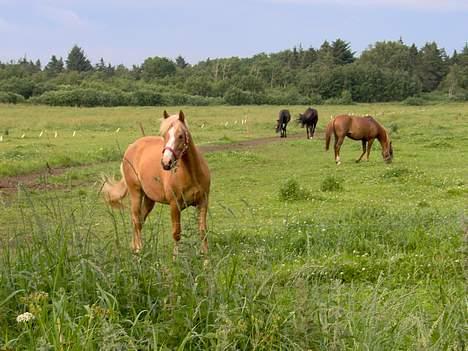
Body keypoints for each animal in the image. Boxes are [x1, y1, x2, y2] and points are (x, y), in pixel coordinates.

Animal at [104, 111, 212, 258]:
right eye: (164, 135)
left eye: (180, 136)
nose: (166, 162)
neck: (192, 174)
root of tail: (131, 148)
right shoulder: (175, 205)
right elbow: (176, 233)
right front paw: (175, 259)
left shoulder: (203, 202)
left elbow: (203, 231)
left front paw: (206, 257)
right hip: (136, 193)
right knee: (136, 220)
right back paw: (138, 250)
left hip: (149, 199)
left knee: (140, 221)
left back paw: (135, 248)